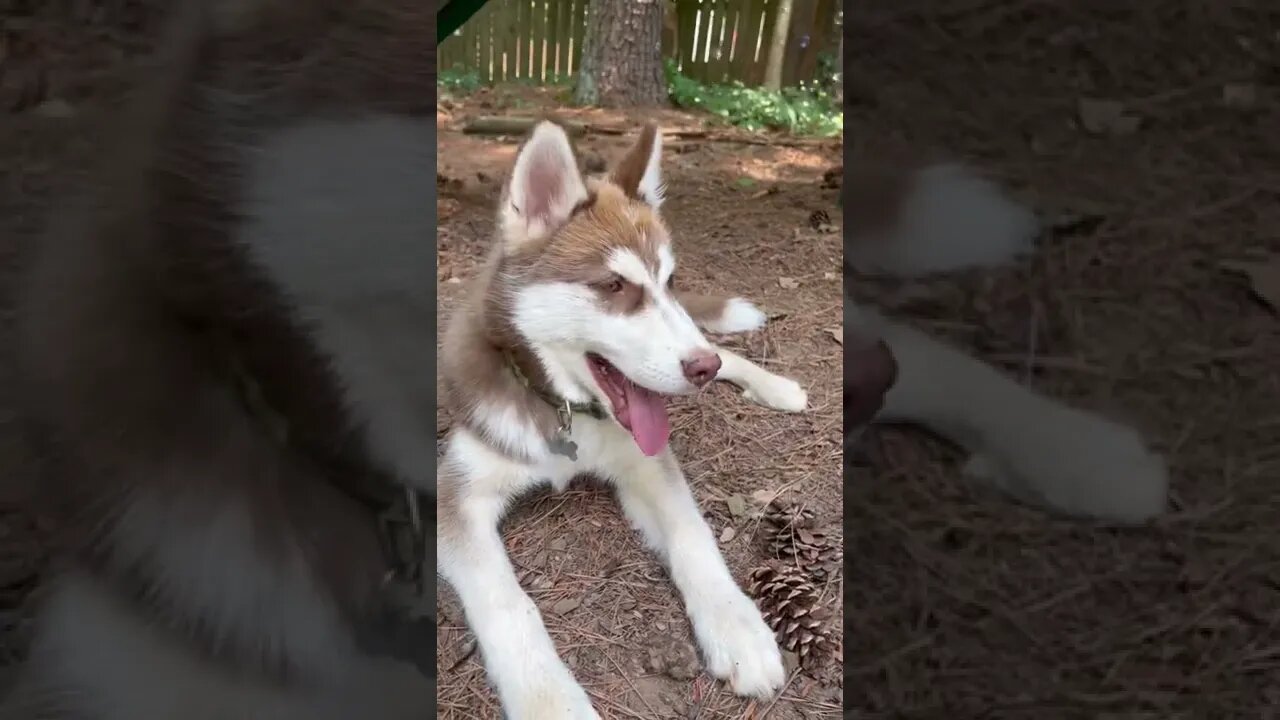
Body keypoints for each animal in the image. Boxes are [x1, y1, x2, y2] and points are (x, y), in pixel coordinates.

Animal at [435, 120, 803, 712]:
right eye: (613, 286)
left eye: (669, 282)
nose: (701, 368)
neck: (564, 411)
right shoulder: (457, 496)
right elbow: (508, 603)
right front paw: (549, 701)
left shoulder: (646, 463)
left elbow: (693, 535)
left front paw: (737, 627)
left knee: (730, 353)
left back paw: (776, 386)